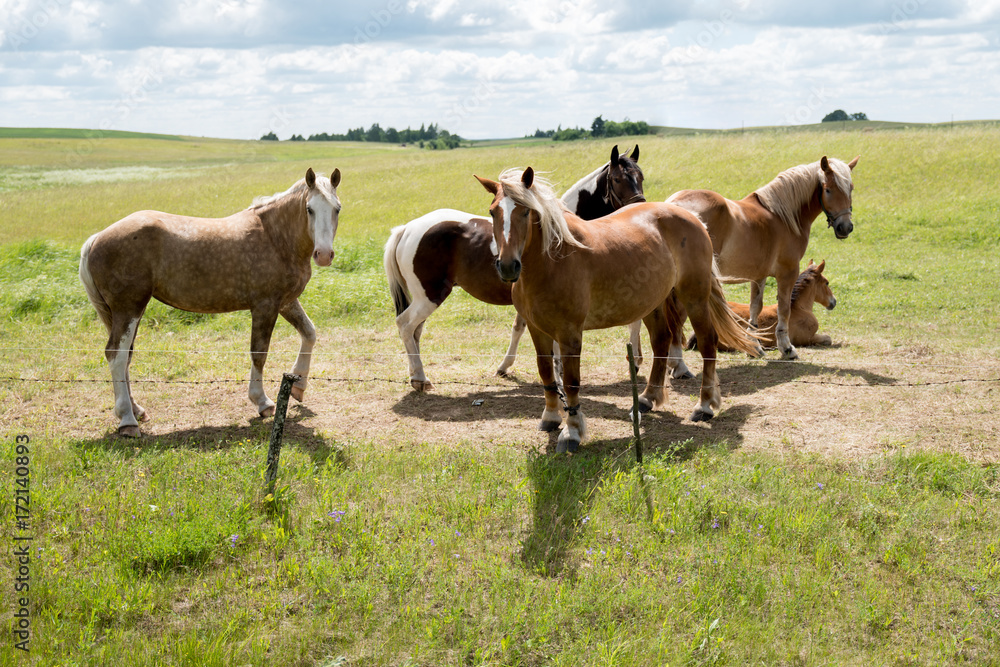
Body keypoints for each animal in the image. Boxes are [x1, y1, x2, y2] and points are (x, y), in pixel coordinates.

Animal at [79, 168, 342, 437]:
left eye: (337, 208)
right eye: (309, 209)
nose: (323, 255)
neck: (275, 237)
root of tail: (97, 238)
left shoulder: (286, 302)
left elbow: (309, 333)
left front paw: (299, 385)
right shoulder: (265, 306)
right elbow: (259, 353)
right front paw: (262, 401)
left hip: (129, 312)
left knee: (126, 358)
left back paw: (137, 410)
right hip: (129, 308)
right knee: (117, 355)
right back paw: (127, 420)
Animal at [384, 145, 644, 391]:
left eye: (640, 177)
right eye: (617, 179)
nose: (640, 206)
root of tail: (407, 229)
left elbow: (519, 328)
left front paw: (507, 367)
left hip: (423, 298)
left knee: (414, 332)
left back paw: (414, 374)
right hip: (429, 296)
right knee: (405, 325)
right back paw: (420, 378)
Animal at [475, 167, 763, 452]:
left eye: (525, 211)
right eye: (493, 211)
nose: (508, 266)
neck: (551, 261)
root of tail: (692, 217)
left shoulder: (569, 333)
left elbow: (571, 382)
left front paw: (572, 431)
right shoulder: (538, 330)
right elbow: (546, 373)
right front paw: (551, 416)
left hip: (694, 297)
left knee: (707, 343)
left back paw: (704, 406)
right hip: (653, 303)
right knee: (661, 342)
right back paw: (647, 398)